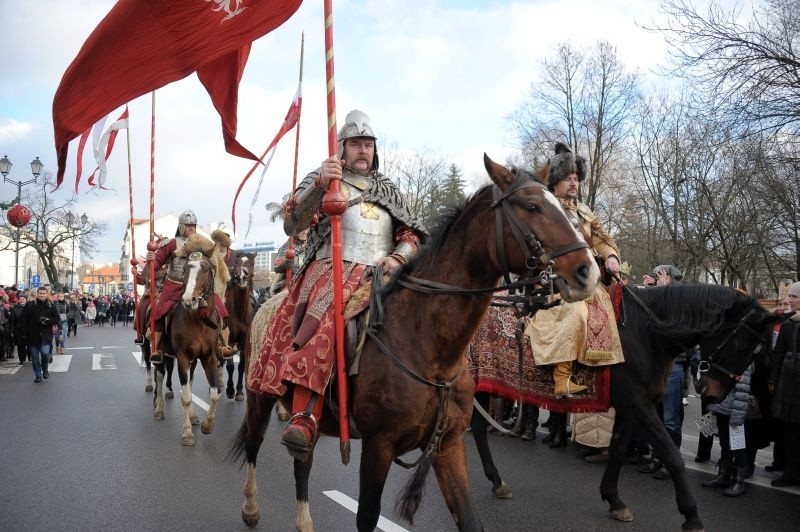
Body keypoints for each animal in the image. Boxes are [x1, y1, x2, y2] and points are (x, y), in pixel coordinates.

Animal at [154, 235, 230, 446]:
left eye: (205, 268)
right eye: (186, 269)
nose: (189, 300)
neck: (198, 321)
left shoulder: (209, 357)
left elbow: (215, 394)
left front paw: (207, 425)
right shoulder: (182, 358)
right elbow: (186, 396)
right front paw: (187, 434)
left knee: (189, 380)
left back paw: (195, 417)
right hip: (160, 355)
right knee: (159, 376)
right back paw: (159, 409)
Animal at [228, 155, 596, 532]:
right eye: (532, 206)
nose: (588, 272)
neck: (427, 348)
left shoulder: (448, 444)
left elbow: (468, 517)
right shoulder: (379, 445)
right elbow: (367, 516)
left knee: (302, 460)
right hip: (260, 396)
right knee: (254, 444)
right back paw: (250, 508)